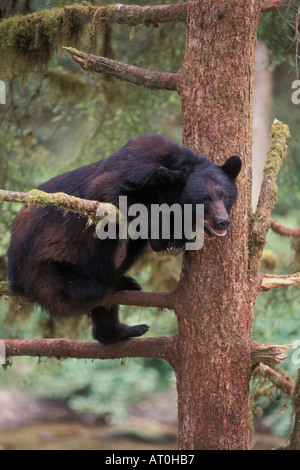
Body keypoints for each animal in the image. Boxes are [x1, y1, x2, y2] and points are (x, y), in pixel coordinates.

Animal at [7, 134, 241, 344]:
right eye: (203, 200)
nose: (222, 221)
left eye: (224, 195)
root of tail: (14, 273)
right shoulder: (133, 169)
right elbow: (108, 191)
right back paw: (106, 284)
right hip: (47, 265)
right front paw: (163, 232)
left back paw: (122, 327)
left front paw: (174, 236)